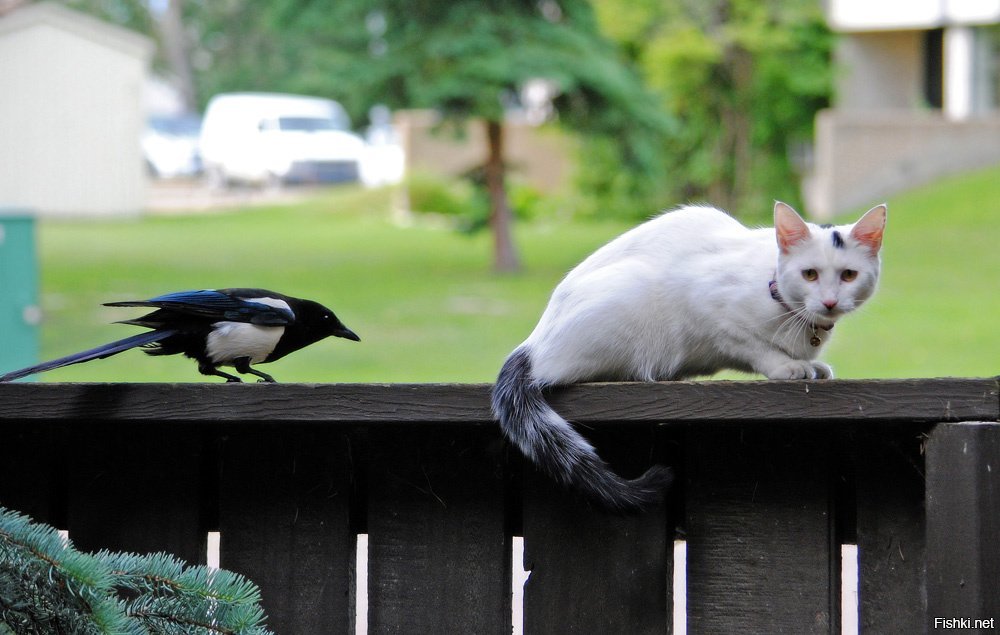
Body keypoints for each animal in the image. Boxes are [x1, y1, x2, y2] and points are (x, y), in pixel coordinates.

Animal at [492, 201, 884, 516]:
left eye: (849, 275)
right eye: (810, 274)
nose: (830, 302)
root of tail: (533, 343)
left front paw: (811, 363)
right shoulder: (710, 309)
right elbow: (753, 346)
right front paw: (786, 366)